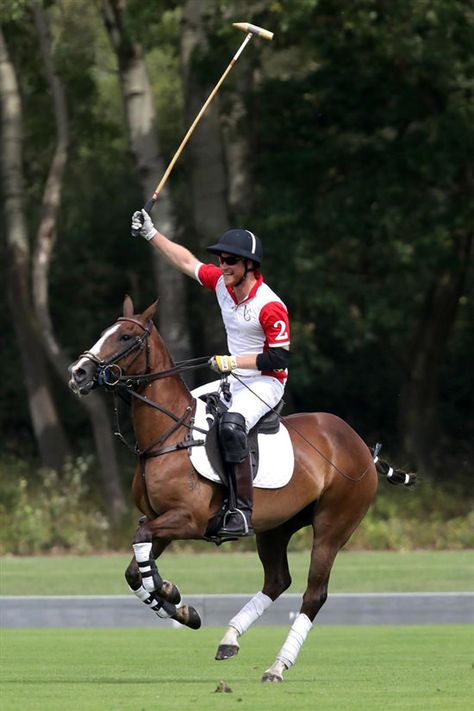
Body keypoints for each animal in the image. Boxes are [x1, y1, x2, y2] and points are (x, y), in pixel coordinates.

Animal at [67, 296, 414, 684]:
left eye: (126, 336)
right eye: (105, 332)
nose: (78, 372)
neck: (168, 435)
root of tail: (362, 447)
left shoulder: (188, 520)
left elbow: (140, 545)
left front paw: (169, 592)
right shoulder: (162, 520)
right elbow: (133, 569)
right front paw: (180, 606)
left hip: (334, 525)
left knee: (314, 593)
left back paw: (277, 666)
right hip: (277, 527)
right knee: (277, 580)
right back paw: (230, 638)